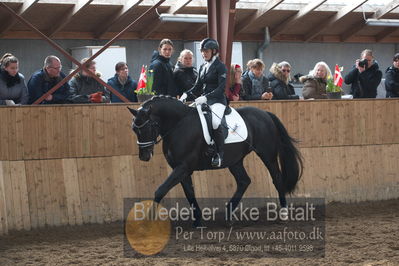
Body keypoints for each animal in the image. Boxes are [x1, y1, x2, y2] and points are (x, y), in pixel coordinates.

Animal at [128, 96, 304, 225]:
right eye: (134, 129)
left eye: (149, 126)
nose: (144, 156)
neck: (179, 124)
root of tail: (266, 114)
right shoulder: (180, 168)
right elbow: (189, 193)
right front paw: (198, 220)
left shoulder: (183, 167)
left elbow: (160, 190)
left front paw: (148, 220)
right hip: (235, 161)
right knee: (244, 181)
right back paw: (228, 215)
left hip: (267, 155)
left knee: (277, 178)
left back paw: (283, 214)